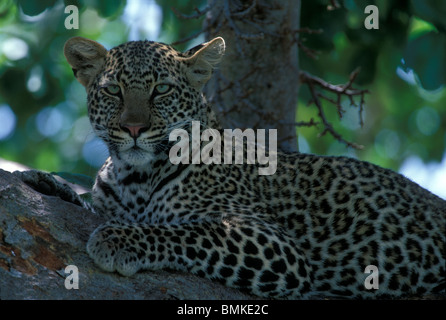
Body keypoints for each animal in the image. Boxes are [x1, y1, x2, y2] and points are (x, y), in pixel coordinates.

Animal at [15, 36, 444, 298]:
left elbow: (189, 232)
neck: (134, 178)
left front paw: (119, 239)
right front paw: (44, 183)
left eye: (162, 90)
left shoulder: (276, 246)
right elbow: (89, 205)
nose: (134, 129)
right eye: (112, 90)